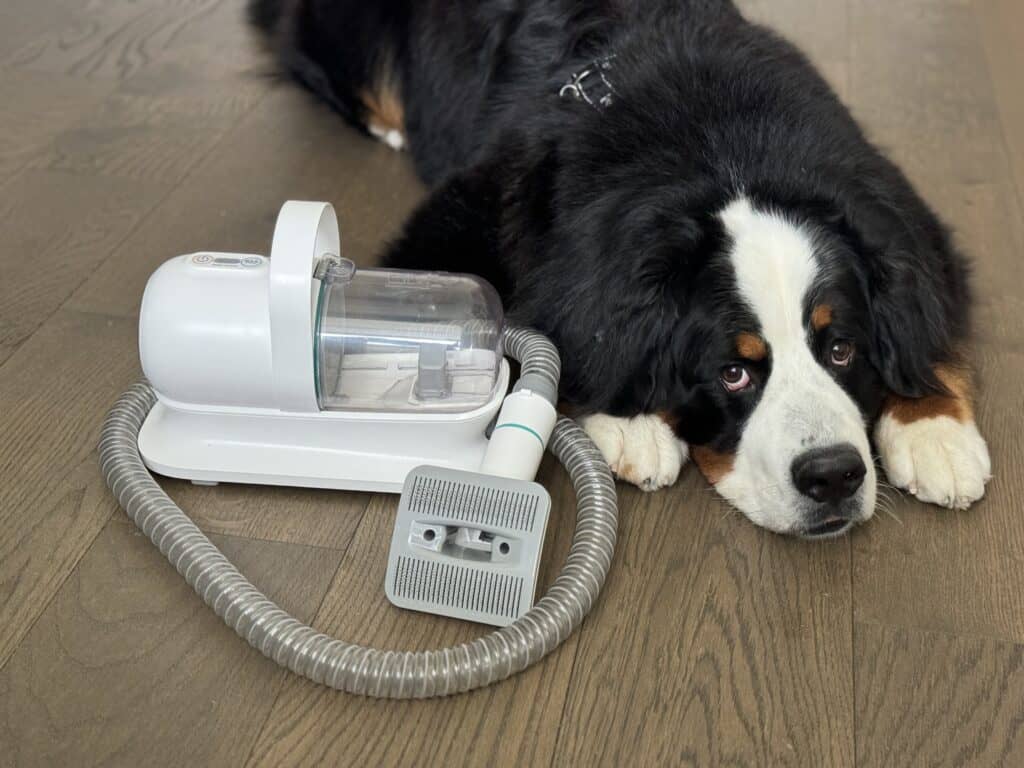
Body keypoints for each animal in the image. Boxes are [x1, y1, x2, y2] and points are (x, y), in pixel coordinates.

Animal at [249, 0, 991, 540]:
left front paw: (935, 431)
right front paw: (633, 420)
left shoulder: (896, 214)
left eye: (841, 349)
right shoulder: (460, 230)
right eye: (733, 372)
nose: (834, 475)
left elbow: (928, 320)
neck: (722, 153)